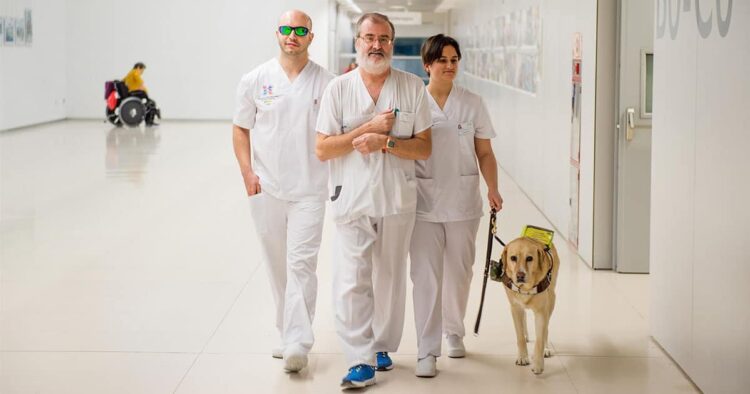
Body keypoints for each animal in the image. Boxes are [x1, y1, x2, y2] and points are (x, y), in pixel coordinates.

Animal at [502, 235, 560, 374]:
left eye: (529, 258)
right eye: (513, 258)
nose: (520, 275)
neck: (525, 288)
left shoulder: (541, 312)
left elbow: (539, 339)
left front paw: (538, 364)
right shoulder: (515, 308)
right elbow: (519, 336)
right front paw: (523, 357)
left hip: (552, 299)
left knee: (546, 329)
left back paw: (546, 349)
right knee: (524, 319)